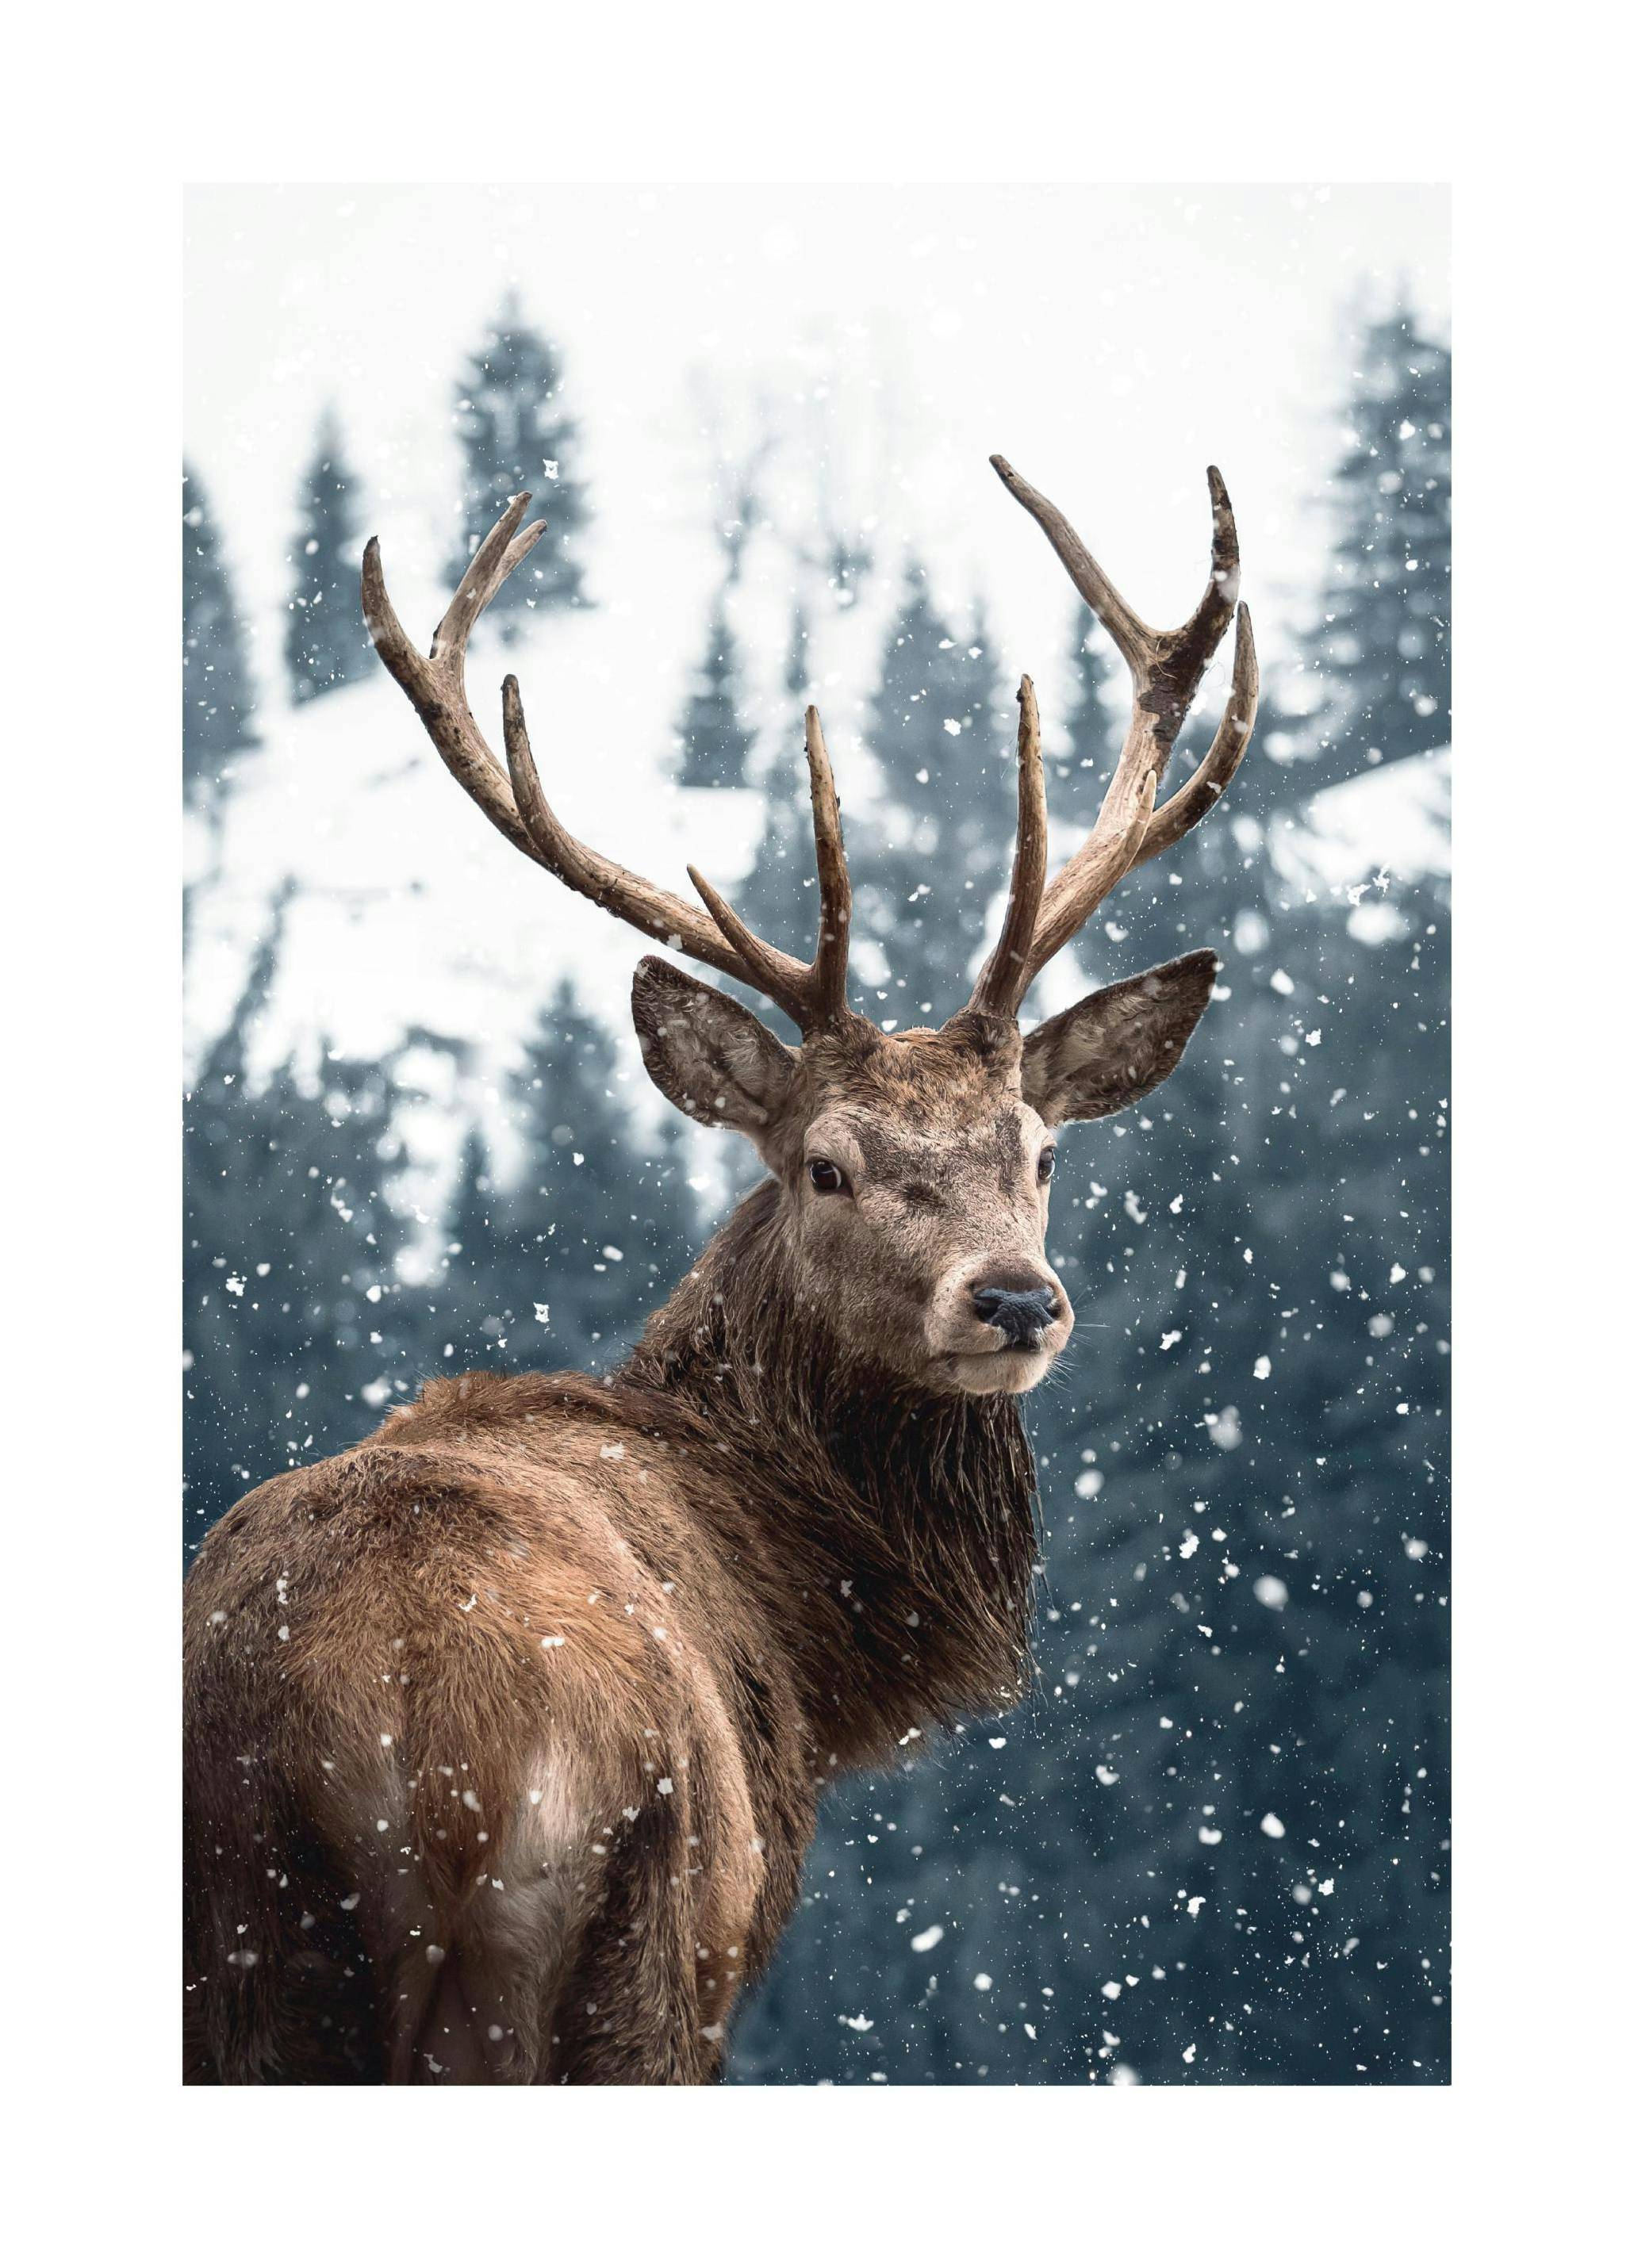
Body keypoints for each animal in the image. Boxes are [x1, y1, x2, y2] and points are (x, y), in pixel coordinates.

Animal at [183, 453, 1258, 2085]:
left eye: (1043, 1153)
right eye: (827, 1163)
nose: (1014, 1298)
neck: (812, 1639)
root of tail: (411, 1750)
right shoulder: (719, 1954)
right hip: (614, 1942)